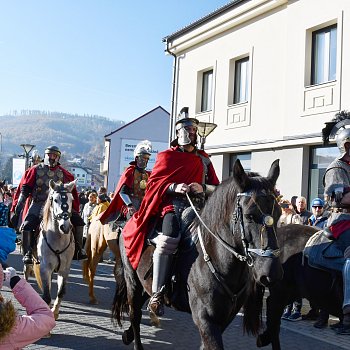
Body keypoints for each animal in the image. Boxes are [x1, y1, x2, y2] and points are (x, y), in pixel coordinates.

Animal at [33, 180, 76, 320]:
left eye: (71, 199)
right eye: (55, 199)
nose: (65, 227)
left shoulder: (64, 269)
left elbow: (61, 292)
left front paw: (55, 312)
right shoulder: (45, 267)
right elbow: (46, 296)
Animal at [112, 159, 284, 350]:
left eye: (278, 214)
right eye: (249, 216)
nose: (271, 273)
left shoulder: (224, 319)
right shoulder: (205, 319)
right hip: (132, 281)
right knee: (135, 315)